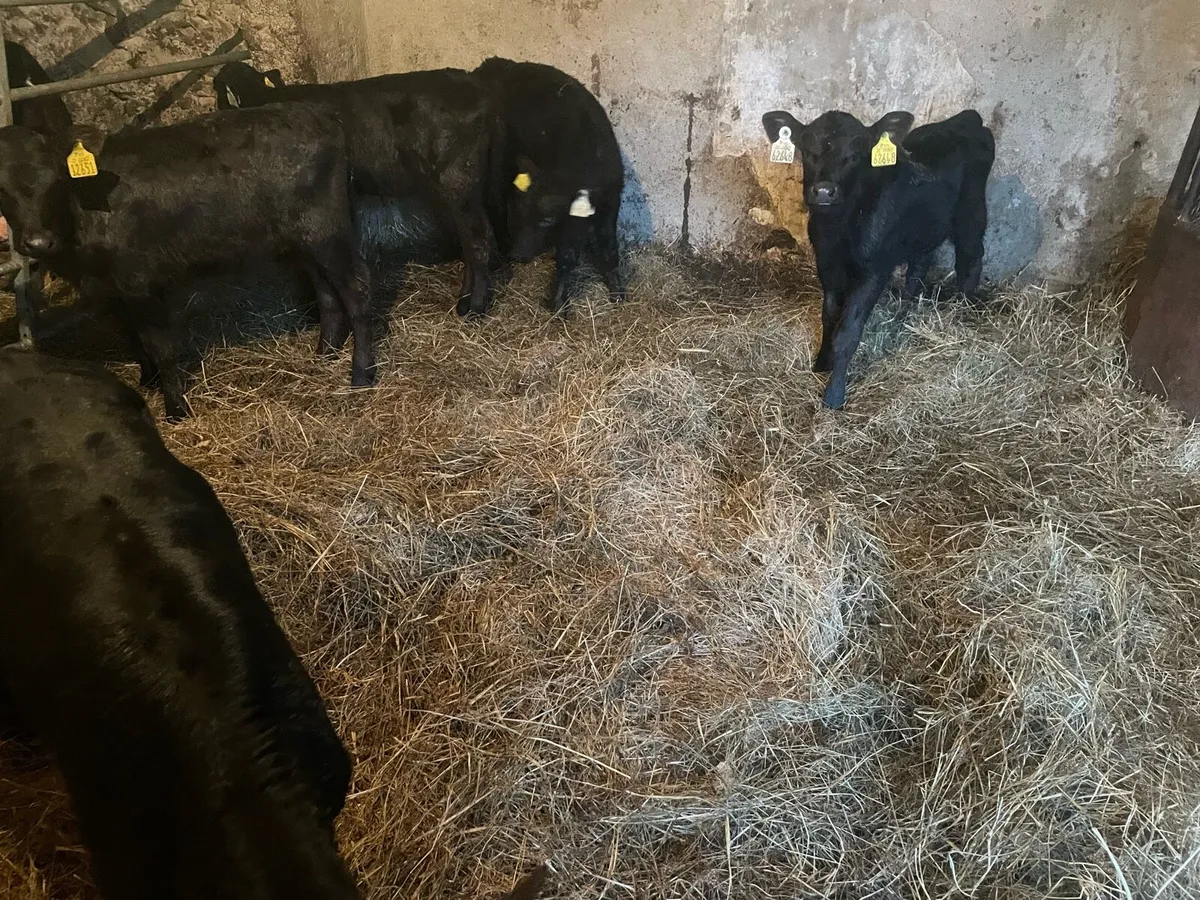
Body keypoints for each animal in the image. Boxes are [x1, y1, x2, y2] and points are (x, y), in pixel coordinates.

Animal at [0, 104, 373, 421]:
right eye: (1, 189)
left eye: (56, 182)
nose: (37, 242)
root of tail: (319, 116)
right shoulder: (112, 289)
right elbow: (132, 338)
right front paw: (148, 380)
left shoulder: (140, 282)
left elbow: (161, 346)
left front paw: (176, 409)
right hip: (304, 241)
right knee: (327, 293)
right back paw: (325, 354)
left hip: (326, 230)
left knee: (356, 289)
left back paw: (362, 375)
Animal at [212, 60, 503, 318]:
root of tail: (477, 87)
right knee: (472, 238)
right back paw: (464, 302)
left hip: (458, 176)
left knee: (478, 239)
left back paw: (476, 307)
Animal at [471, 57, 625, 316]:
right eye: (520, 213)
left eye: (548, 219)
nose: (519, 254)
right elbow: (567, 257)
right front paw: (559, 302)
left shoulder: (609, 206)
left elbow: (608, 249)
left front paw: (618, 292)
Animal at [761, 108, 995, 409]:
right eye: (806, 148)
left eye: (857, 153)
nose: (824, 191)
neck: (838, 229)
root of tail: (966, 118)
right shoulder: (826, 263)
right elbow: (829, 315)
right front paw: (822, 362)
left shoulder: (874, 271)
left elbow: (848, 331)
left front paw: (834, 394)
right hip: (924, 228)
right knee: (919, 266)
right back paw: (904, 311)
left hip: (972, 213)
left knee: (970, 259)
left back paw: (964, 311)